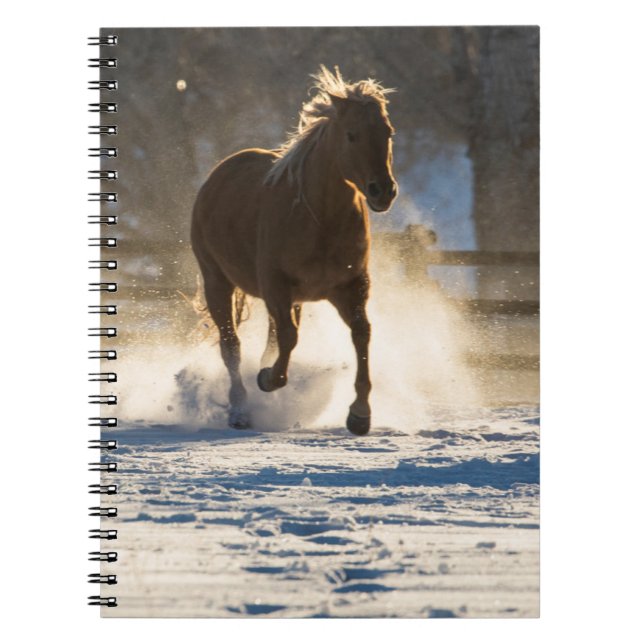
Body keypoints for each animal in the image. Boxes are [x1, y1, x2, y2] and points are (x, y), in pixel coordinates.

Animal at [191, 66, 397, 435]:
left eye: (387, 132)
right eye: (352, 135)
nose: (382, 191)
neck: (321, 221)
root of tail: (217, 176)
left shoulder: (350, 287)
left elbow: (361, 334)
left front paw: (360, 414)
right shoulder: (276, 285)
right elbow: (288, 338)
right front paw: (267, 379)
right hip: (217, 282)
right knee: (231, 346)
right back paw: (240, 411)